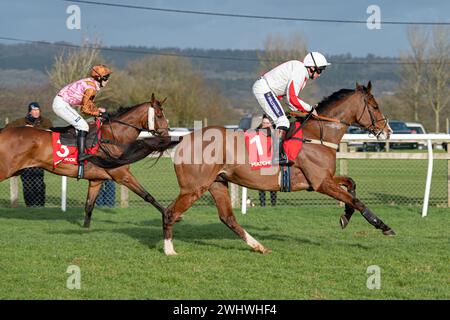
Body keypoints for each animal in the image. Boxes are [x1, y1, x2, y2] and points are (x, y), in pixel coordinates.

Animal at [0, 93, 178, 228]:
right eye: (159, 115)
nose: (167, 135)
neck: (112, 137)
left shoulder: (96, 180)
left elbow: (89, 206)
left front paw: (86, 228)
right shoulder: (122, 174)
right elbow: (147, 196)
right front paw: (168, 215)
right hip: (6, 169)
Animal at [164, 82, 394, 255]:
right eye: (375, 106)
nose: (388, 131)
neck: (317, 135)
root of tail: (183, 139)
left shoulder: (323, 179)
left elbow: (351, 184)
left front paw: (345, 217)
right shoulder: (321, 183)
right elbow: (356, 200)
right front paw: (383, 226)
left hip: (217, 183)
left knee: (227, 218)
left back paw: (259, 247)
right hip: (193, 188)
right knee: (170, 212)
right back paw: (169, 250)